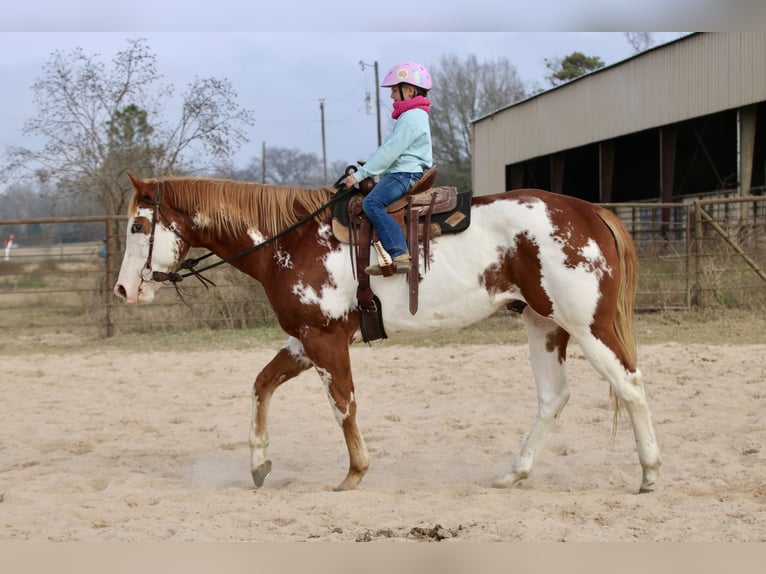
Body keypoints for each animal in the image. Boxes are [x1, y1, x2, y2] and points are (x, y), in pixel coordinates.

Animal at [113, 173, 661, 493]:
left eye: (138, 226)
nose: (123, 289)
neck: (291, 240)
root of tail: (592, 211)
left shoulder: (325, 339)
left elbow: (343, 404)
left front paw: (354, 472)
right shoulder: (305, 339)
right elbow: (261, 384)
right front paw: (259, 464)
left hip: (587, 326)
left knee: (632, 386)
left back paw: (650, 473)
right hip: (543, 324)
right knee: (554, 397)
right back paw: (515, 472)